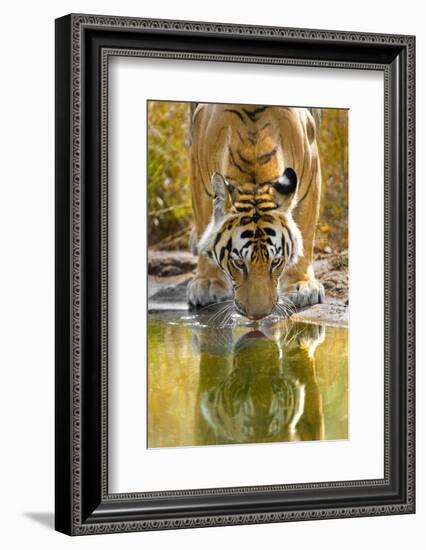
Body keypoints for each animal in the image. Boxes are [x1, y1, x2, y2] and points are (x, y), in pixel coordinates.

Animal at [188, 102, 324, 324]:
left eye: (276, 262)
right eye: (238, 263)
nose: (258, 316)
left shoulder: (311, 170)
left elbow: (306, 228)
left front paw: (302, 286)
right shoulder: (199, 176)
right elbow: (203, 223)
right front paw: (207, 282)